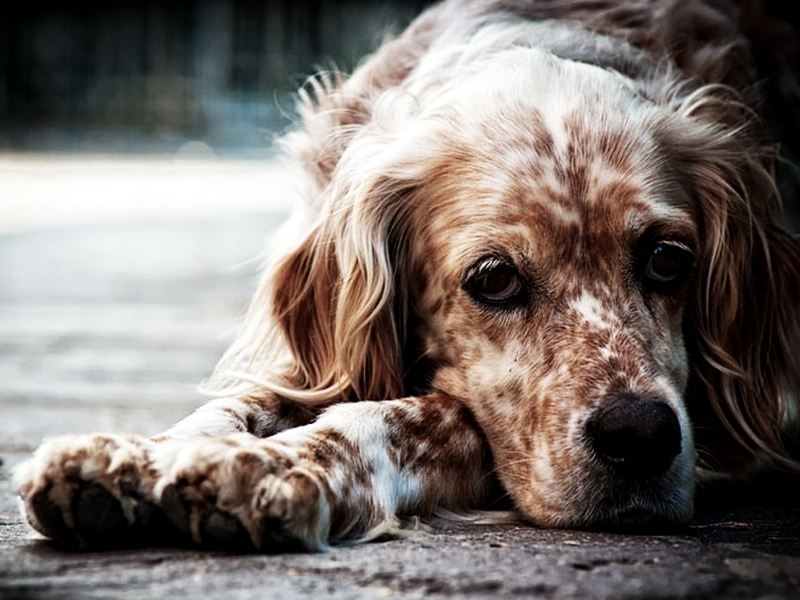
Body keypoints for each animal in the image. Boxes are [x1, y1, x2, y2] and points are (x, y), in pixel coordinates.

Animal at [12, 0, 800, 552]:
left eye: (669, 259)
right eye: (494, 278)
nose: (642, 437)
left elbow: (418, 416)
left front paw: (278, 466)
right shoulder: (318, 356)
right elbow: (240, 403)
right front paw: (131, 459)